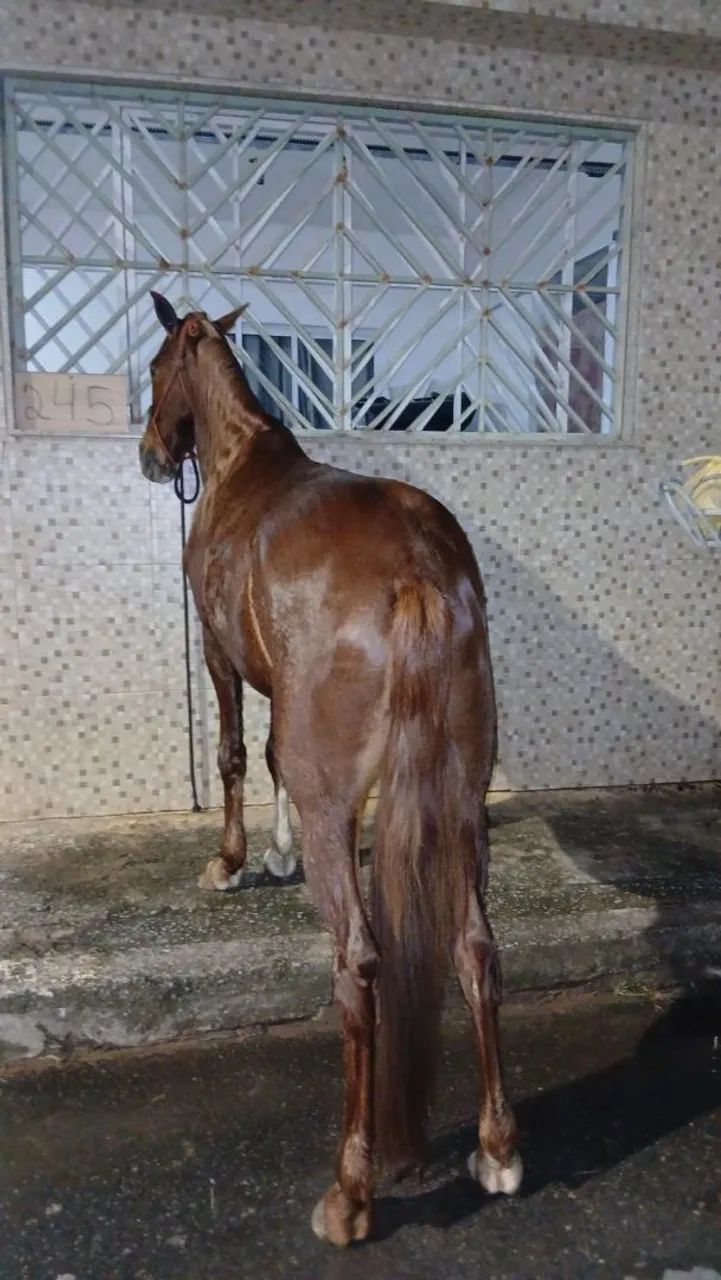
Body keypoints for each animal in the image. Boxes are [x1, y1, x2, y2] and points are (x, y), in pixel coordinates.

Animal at [138, 291, 522, 1245]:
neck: (241, 464)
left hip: (343, 814)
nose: (153, 456)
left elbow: (239, 753)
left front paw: (233, 862)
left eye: (155, 365)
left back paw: (349, 1193)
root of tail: (417, 567)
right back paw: (497, 1150)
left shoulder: (221, 658)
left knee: (359, 966)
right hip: (462, 801)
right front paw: (271, 854)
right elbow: (275, 755)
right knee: (475, 946)